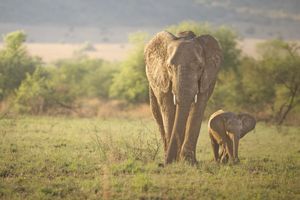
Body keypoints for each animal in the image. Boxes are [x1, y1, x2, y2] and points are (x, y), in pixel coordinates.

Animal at [144, 30, 221, 164]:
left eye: (200, 67)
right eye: (169, 67)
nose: (162, 165)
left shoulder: (207, 79)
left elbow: (198, 107)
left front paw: (189, 161)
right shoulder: (163, 78)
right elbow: (168, 108)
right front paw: (173, 160)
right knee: (158, 115)